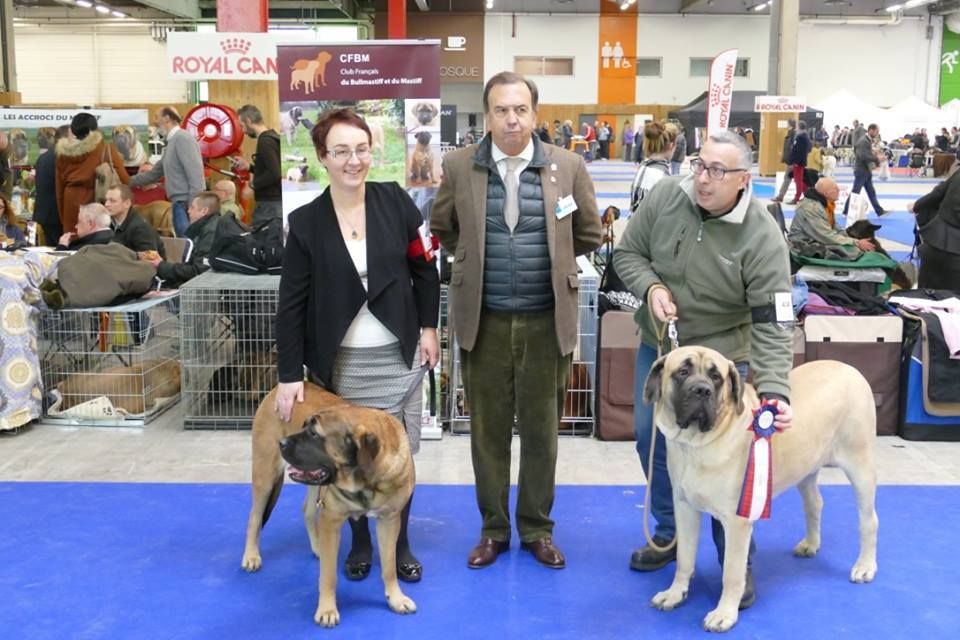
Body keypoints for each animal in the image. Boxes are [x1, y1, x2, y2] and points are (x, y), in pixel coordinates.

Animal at [242, 382, 414, 628]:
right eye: (304, 427)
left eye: (314, 434)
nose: (282, 443)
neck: (365, 480)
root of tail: (275, 390)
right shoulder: (331, 521)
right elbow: (329, 575)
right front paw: (327, 609)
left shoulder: (389, 520)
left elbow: (389, 566)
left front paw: (396, 599)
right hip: (265, 473)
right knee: (254, 517)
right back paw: (251, 556)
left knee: (306, 510)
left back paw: (317, 547)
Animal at [644, 344, 876, 632]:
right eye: (683, 372)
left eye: (716, 377)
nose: (702, 390)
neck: (696, 444)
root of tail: (850, 369)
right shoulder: (685, 509)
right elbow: (685, 558)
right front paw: (675, 593)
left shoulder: (736, 522)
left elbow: (732, 571)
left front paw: (725, 613)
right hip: (805, 468)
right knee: (815, 503)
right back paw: (810, 544)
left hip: (861, 466)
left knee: (869, 521)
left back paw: (865, 566)